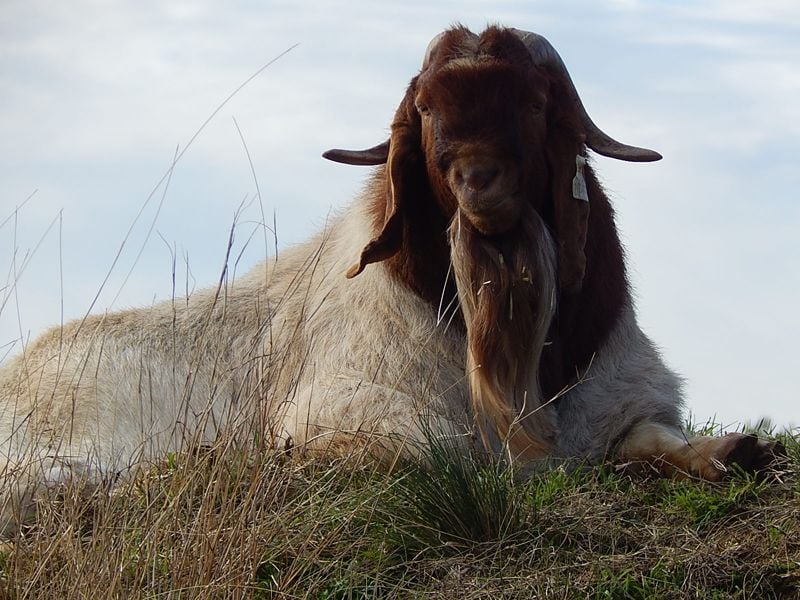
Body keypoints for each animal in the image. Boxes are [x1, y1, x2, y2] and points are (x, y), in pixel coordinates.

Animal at [0, 25, 782, 533]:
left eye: (532, 102)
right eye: (428, 109)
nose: (479, 181)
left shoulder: (622, 394)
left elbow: (653, 440)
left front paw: (732, 451)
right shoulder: (355, 406)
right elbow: (422, 456)